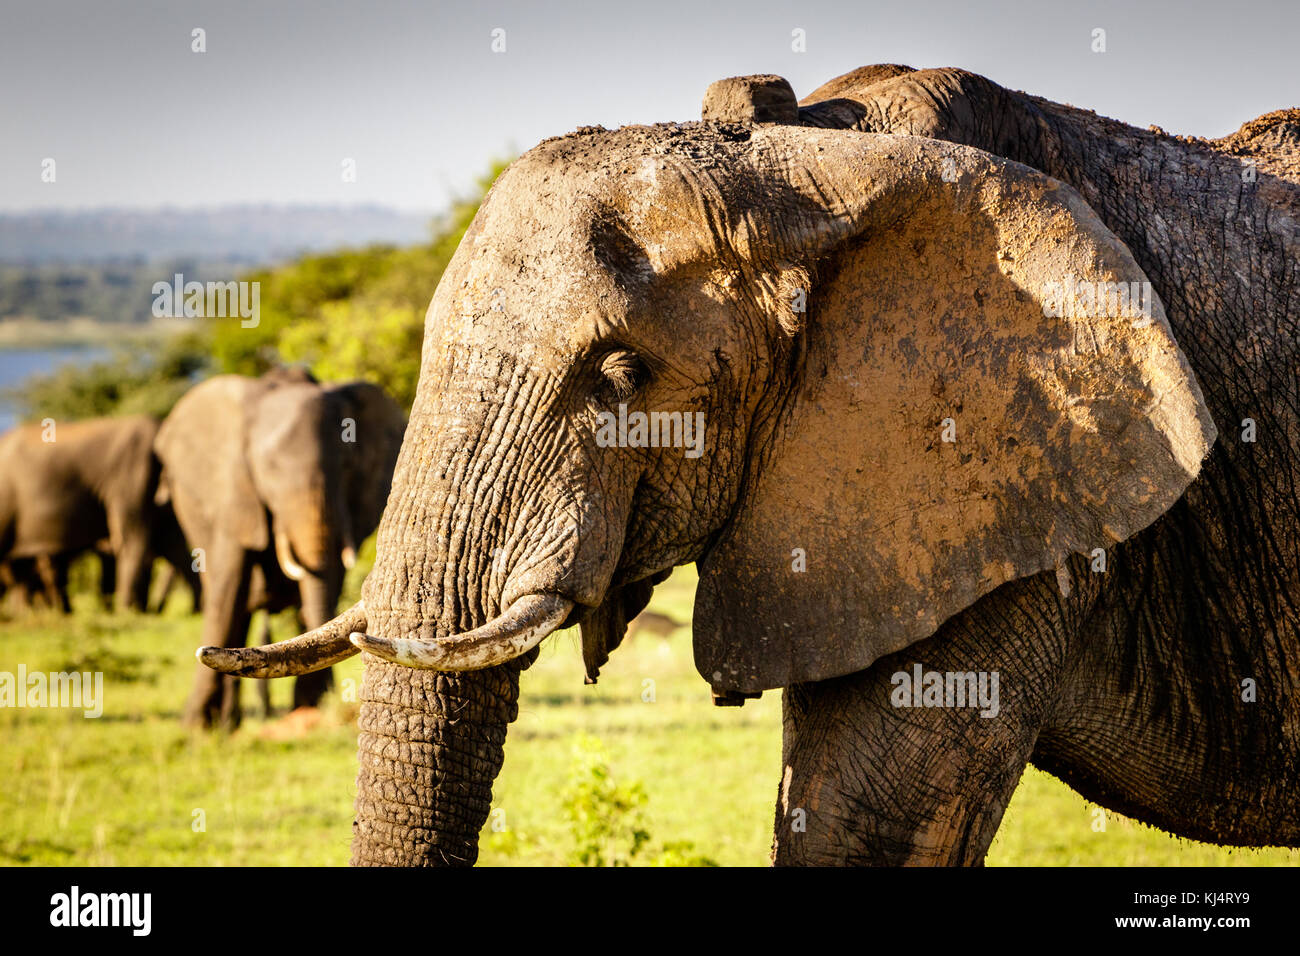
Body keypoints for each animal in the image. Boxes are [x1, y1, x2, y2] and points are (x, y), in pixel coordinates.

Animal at [161, 369, 405, 728]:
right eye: (270, 470)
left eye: (347, 466)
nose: (322, 703)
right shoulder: (233, 491)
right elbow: (229, 585)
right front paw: (197, 727)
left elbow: (327, 581)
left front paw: (309, 706)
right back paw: (222, 724)